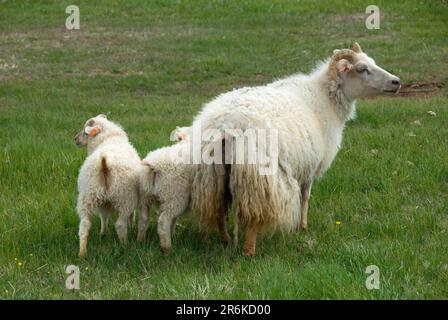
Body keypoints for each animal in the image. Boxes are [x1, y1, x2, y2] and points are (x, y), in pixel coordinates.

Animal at [74, 114, 140, 258]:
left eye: (85, 132)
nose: (75, 139)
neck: (109, 139)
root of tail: (104, 162)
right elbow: (132, 215)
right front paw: (132, 227)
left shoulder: (104, 202)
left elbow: (103, 217)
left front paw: (103, 233)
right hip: (124, 197)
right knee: (120, 225)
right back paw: (125, 246)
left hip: (87, 195)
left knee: (84, 226)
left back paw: (82, 253)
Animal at [191, 43, 400, 258]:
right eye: (361, 69)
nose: (397, 82)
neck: (326, 99)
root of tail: (227, 124)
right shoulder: (310, 165)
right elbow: (305, 196)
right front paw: (303, 227)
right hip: (257, 176)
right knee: (254, 213)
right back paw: (249, 250)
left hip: (214, 174)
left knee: (218, 206)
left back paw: (225, 240)